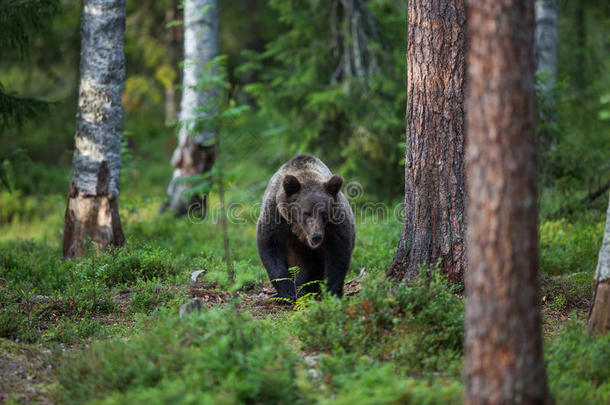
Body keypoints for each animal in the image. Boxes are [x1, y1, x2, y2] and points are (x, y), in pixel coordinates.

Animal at [254, 155, 354, 300]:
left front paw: (331, 291)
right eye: (306, 213)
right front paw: (288, 291)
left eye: (323, 213)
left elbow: (338, 252)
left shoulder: (335, 222)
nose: (316, 236)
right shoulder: (276, 216)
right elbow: (270, 247)